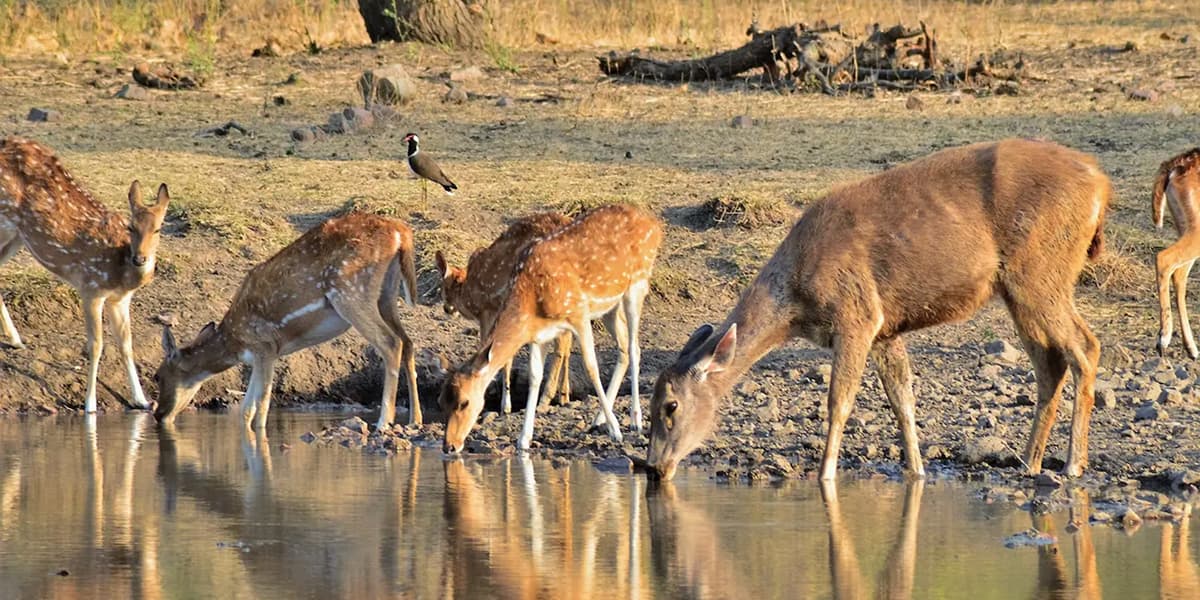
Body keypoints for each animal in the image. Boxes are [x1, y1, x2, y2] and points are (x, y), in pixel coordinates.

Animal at [0, 136, 170, 413]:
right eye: (131, 226)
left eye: (157, 229)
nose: (140, 258)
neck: (120, 272)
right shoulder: (91, 288)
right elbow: (96, 345)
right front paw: (90, 404)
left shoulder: (120, 300)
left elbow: (126, 345)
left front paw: (141, 400)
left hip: (17, 236)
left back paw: (16, 339)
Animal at [153, 211, 421, 430]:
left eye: (157, 376)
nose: (158, 415)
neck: (234, 343)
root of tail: (400, 232)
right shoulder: (260, 355)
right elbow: (245, 411)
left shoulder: (265, 346)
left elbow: (260, 409)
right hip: (386, 294)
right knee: (408, 342)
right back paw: (414, 420)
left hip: (350, 291)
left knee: (390, 342)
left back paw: (383, 422)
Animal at [435, 212, 582, 414]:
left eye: (444, 287)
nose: (447, 308)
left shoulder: (490, 310)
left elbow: (493, 350)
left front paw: (503, 403)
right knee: (568, 339)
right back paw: (563, 396)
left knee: (562, 343)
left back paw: (545, 399)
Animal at [646, 138, 1109, 482]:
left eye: (670, 406)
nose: (652, 467)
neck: (797, 298)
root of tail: (1101, 184)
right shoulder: (887, 329)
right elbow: (903, 400)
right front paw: (916, 471)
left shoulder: (857, 315)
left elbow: (839, 400)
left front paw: (825, 475)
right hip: (1020, 288)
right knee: (1050, 363)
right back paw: (1029, 461)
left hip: (1039, 272)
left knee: (1085, 346)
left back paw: (1071, 464)